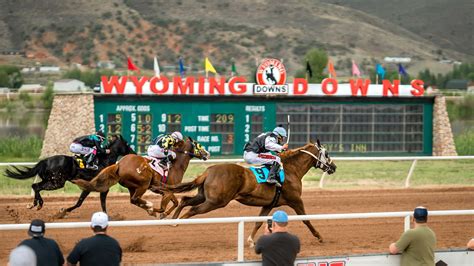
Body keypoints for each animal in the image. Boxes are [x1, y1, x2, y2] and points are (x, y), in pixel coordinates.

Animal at [4, 135, 135, 214]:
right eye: (127, 144)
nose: (134, 152)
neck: (104, 161)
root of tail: (45, 161)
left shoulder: (88, 187)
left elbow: (79, 202)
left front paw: (64, 210)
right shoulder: (103, 188)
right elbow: (101, 204)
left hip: (51, 180)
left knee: (35, 186)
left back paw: (34, 204)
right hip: (57, 182)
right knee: (36, 187)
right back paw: (39, 204)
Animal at [73, 137, 210, 218]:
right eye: (199, 145)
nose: (207, 154)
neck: (176, 165)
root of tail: (119, 164)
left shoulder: (165, 190)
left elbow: (175, 202)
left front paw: (159, 212)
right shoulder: (168, 190)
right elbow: (166, 206)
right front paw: (161, 213)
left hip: (132, 187)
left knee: (133, 200)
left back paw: (148, 208)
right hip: (143, 184)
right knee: (135, 199)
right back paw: (149, 206)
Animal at [161, 140, 336, 246]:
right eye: (327, 154)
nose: (333, 167)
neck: (291, 170)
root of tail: (208, 171)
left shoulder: (269, 204)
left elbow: (258, 222)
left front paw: (251, 240)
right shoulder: (295, 200)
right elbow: (306, 219)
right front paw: (319, 236)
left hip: (205, 196)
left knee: (185, 200)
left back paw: (173, 219)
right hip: (216, 201)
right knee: (193, 209)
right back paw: (178, 222)